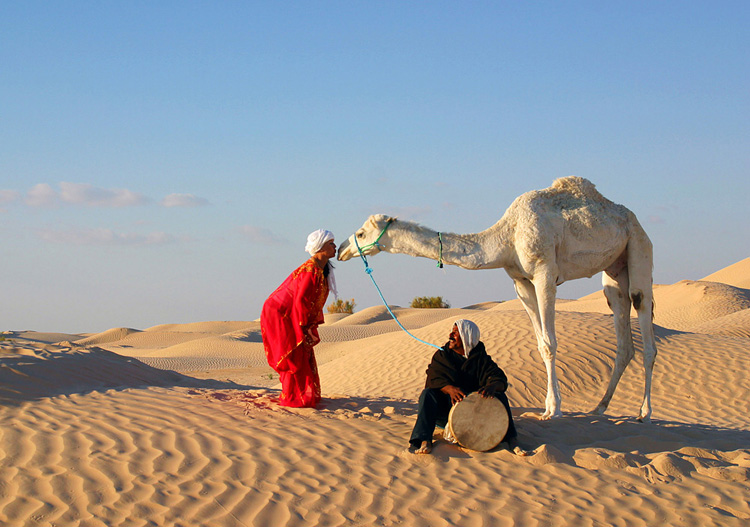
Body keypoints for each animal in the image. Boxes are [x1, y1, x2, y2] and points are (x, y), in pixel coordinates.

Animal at [337, 176, 657, 421]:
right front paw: (548, 406)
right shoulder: (521, 282)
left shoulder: (545, 273)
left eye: (361, 233)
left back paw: (644, 412)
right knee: (624, 336)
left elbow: (550, 344)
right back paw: (600, 408)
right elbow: (540, 344)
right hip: (613, 271)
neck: (507, 237)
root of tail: (634, 219)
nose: (341, 249)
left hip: (638, 246)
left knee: (643, 313)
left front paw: (554, 410)